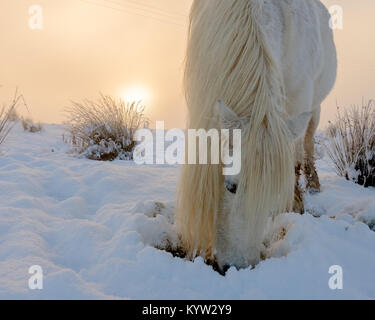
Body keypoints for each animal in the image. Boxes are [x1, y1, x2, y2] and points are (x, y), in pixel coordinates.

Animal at [176, 0, 338, 272]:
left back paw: (311, 187)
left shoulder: (298, 100)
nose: (237, 267)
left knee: (305, 145)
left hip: (314, 106)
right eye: (230, 187)